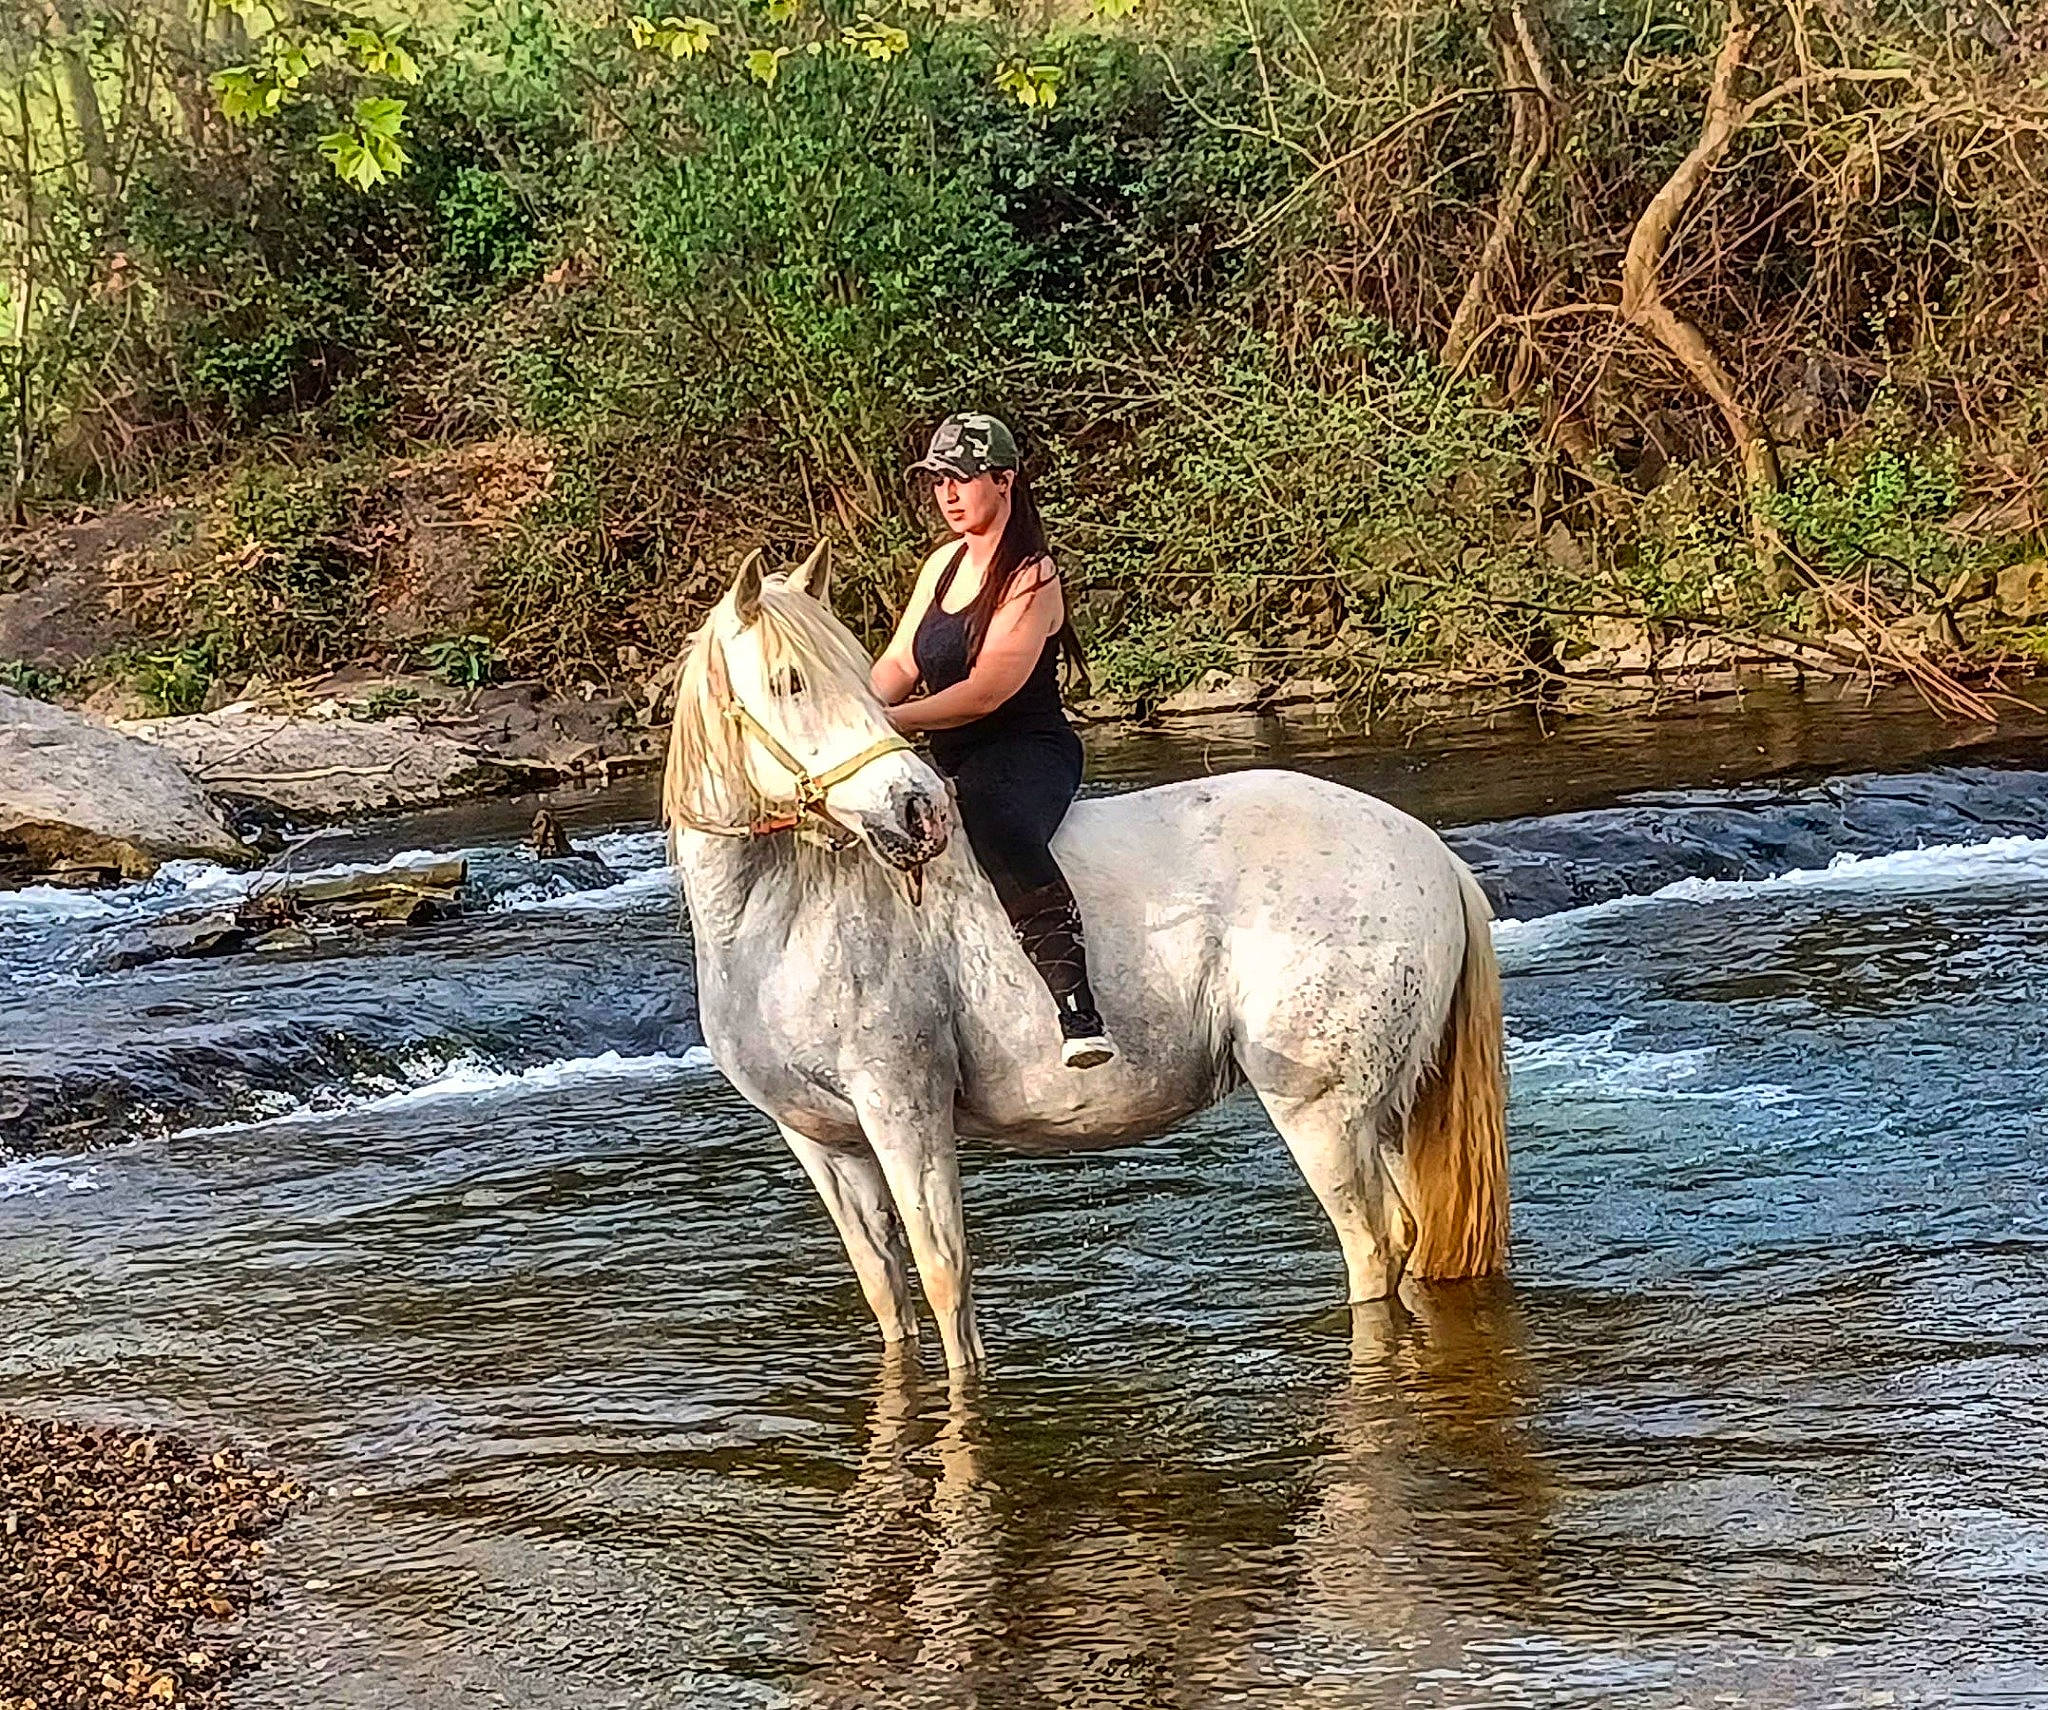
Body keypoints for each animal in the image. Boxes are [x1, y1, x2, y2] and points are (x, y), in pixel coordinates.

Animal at [663, 542, 1508, 1372]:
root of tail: (1429, 851)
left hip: (1321, 1110)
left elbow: (944, 1279)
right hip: (1386, 1109)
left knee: (1375, 1245)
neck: (783, 919)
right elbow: (885, 1290)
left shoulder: (903, 1110)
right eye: (789, 682)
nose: (916, 809)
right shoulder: (820, 1140)